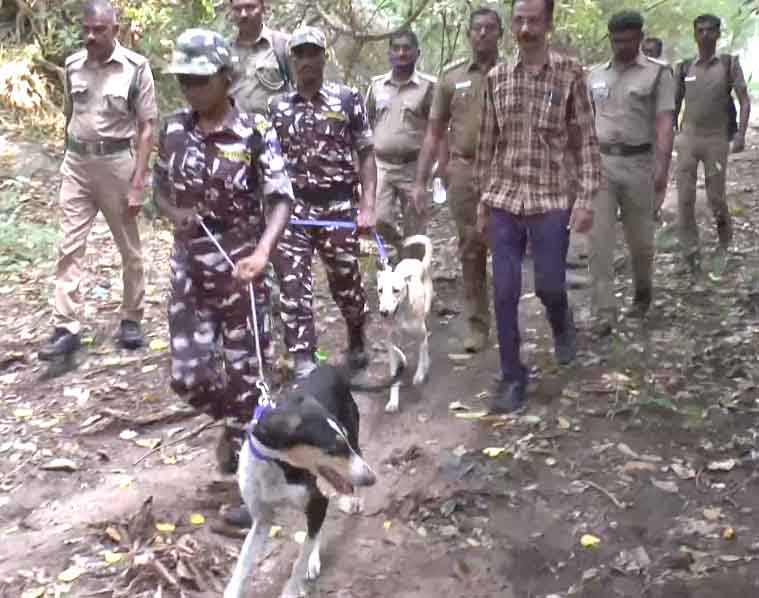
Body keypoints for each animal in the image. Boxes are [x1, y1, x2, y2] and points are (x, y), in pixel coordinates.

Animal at [224, 352, 406, 598]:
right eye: (333, 447)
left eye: (342, 443)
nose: (372, 479)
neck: (275, 466)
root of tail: (333, 370)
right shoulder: (262, 520)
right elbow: (243, 563)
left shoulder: (317, 501)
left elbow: (299, 561)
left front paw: (292, 589)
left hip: (353, 436)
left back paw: (353, 502)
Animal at [376, 237, 434, 414]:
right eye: (380, 290)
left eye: (396, 290)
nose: (383, 312)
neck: (400, 314)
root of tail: (418, 261)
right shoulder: (390, 338)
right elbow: (393, 352)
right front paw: (393, 401)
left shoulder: (421, 334)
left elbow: (422, 352)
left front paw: (420, 374)